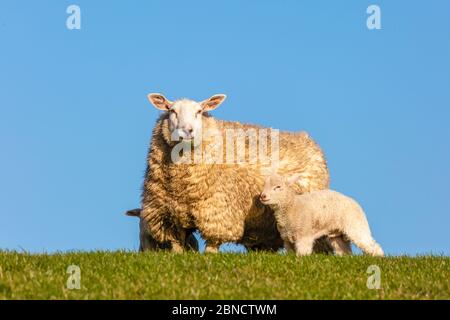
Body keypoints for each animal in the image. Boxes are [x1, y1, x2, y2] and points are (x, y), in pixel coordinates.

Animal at [140, 94, 330, 254]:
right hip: (264, 227)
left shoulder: (218, 212)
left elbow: (212, 247)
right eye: (171, 111)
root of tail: (306, 138)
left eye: (199, 111)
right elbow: (177, 248)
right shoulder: (168, 217)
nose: (186, 130)